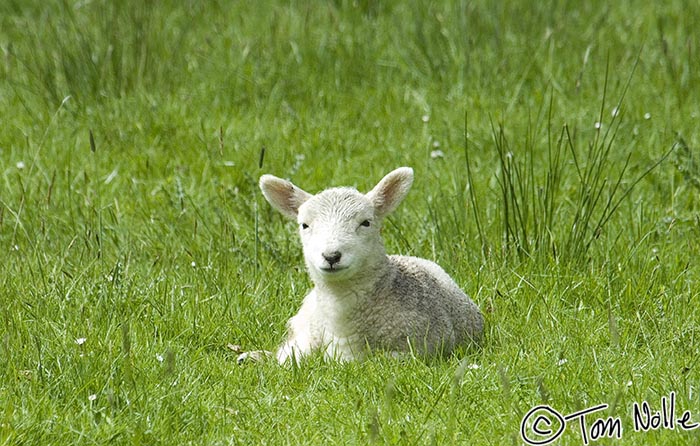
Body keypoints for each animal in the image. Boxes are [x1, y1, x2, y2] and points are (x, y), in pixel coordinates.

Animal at [256, 166, 482, 364]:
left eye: (366, 223)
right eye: (305, 225)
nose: (331, 256)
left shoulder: (423, 348)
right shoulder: (301, 343)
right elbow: (287, 359)